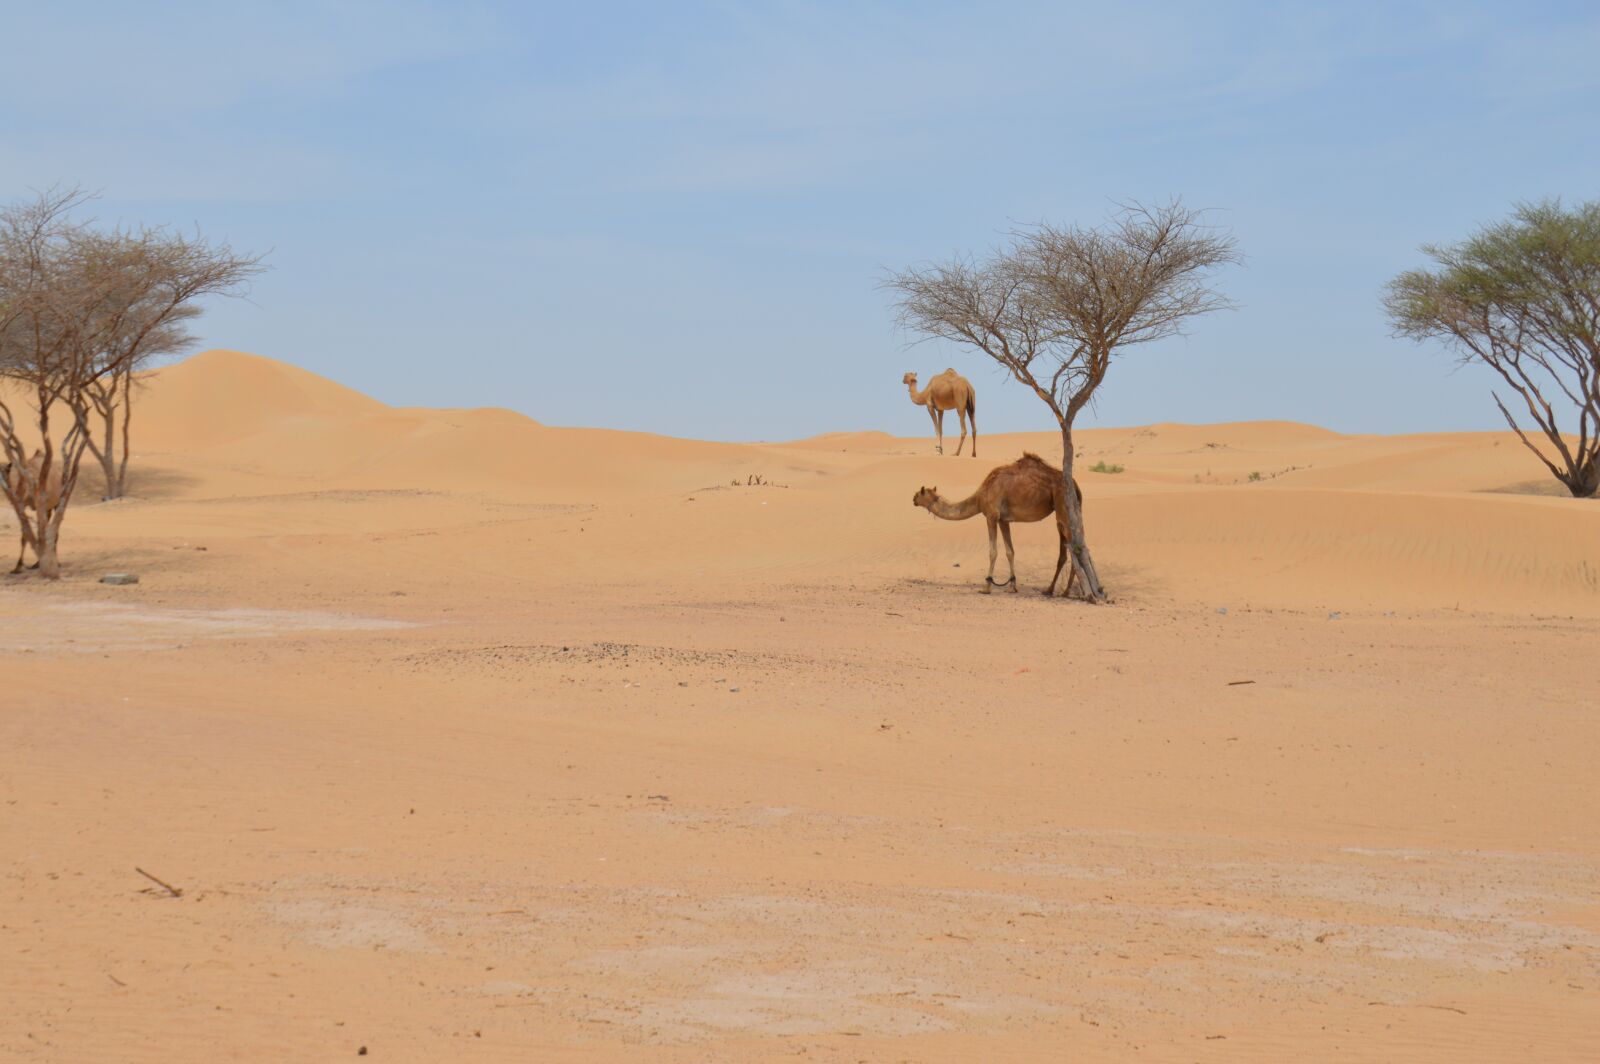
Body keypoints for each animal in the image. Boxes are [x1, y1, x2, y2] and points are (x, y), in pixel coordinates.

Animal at [912, 452, 1082, 596]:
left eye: (920, 492)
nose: (913, 498)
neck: (980, 497)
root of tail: (1075, 485)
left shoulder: (991, 516)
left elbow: (993, 551)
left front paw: (986, 587)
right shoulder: (1003, 520)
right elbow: (1010, 551)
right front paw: (1012, 587)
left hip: (1062, 505)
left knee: (1075, 547)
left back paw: (1067, 592)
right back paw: (1051, 590)